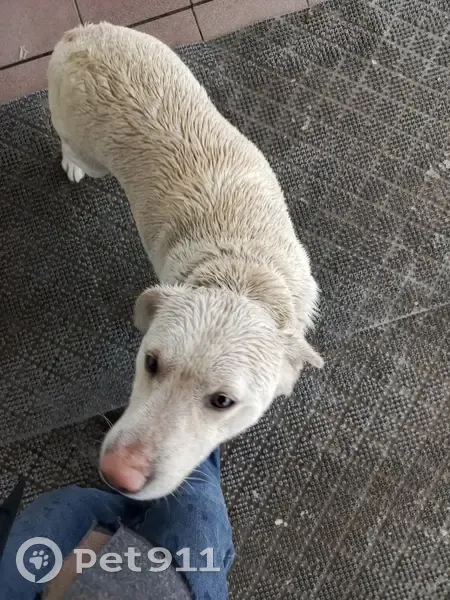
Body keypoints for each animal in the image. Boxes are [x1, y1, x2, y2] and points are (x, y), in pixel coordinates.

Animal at [48, 22, 323, 500]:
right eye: (151, 361)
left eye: (222, 401)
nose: (118, 475)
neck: (241, 275)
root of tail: (82, 33)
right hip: (86, 147)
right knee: (69, 145)